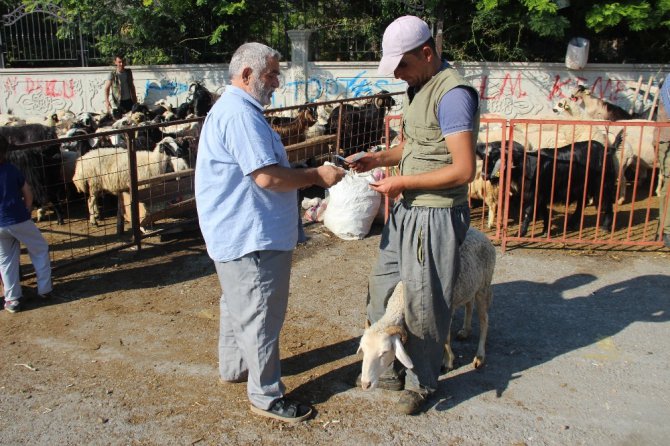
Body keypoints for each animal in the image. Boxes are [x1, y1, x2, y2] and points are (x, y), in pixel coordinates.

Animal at [360, 226, 496, 390]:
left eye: (384, 352)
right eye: (363, 350)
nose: (365, 384)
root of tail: (481, 234)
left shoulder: (445, 311)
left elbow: (445, 337)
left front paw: (448, 362)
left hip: (484, 286)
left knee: (484, 321)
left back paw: (480, 356)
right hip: (470, 286)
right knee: (469, 305)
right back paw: (465, 331)